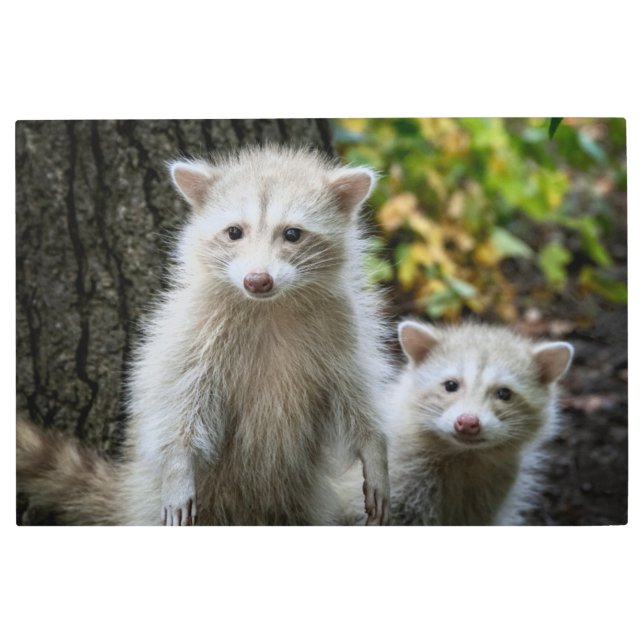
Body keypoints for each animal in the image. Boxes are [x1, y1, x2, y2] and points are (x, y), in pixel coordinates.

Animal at [17, 146, 391, 526]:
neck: (268, 306)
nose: (258, 280)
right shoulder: (193, 331)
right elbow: (178, 402)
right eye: (234, 232)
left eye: (292, 234)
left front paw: (375, 449)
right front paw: (178, 465)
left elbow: (357, 392)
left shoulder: (343, 327)